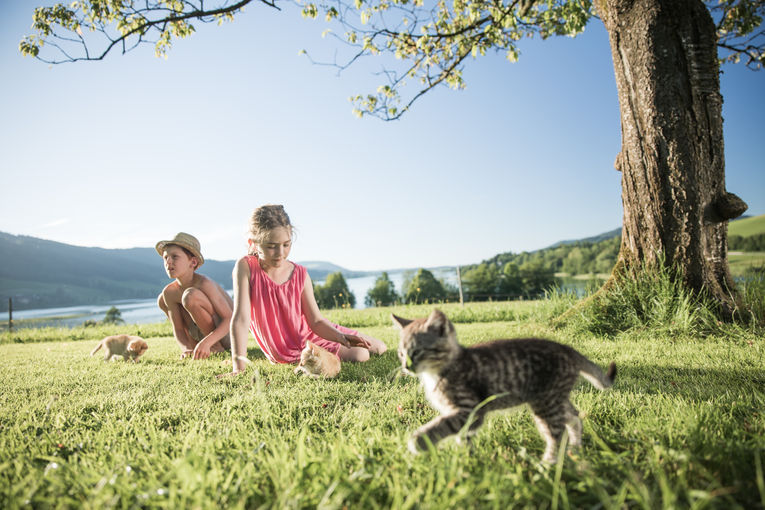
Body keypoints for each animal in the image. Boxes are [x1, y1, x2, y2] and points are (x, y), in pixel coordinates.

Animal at [394, 308, 616, 464]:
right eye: (401, 354)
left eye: (417, 352)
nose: (406, 366)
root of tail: (568, 349)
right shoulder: (468, 418)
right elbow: (463, 437)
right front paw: (467, 460)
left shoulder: (470, 409)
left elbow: (441, 425)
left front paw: (418, 441)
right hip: (555, 399)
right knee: (574, 416)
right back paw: (576, 448)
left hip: (546, 403)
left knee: (557, 434)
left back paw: (548, 464)